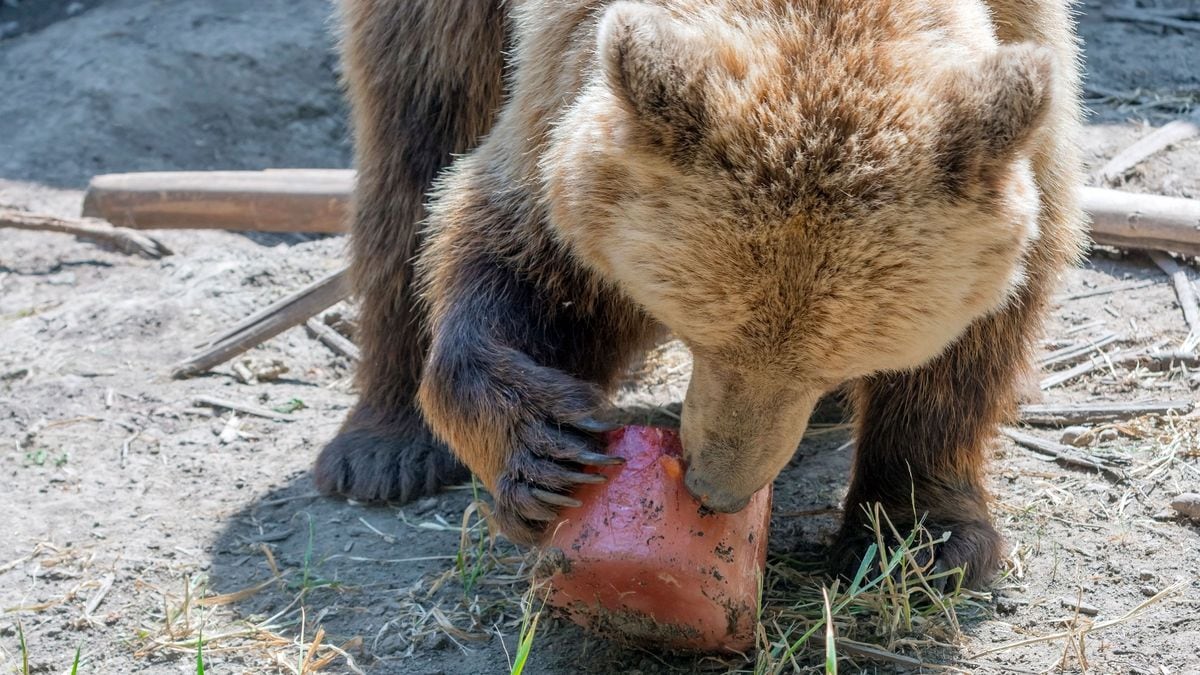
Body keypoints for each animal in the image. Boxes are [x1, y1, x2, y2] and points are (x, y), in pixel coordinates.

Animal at [316, 0, 1085, 589]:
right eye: (701, 336)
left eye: (834, 361)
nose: (718, 489)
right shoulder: (564, 81)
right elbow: (519, 249)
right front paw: (546, 453)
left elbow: (976, 339)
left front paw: (919, 537)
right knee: (417, 128)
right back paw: (385, 449)